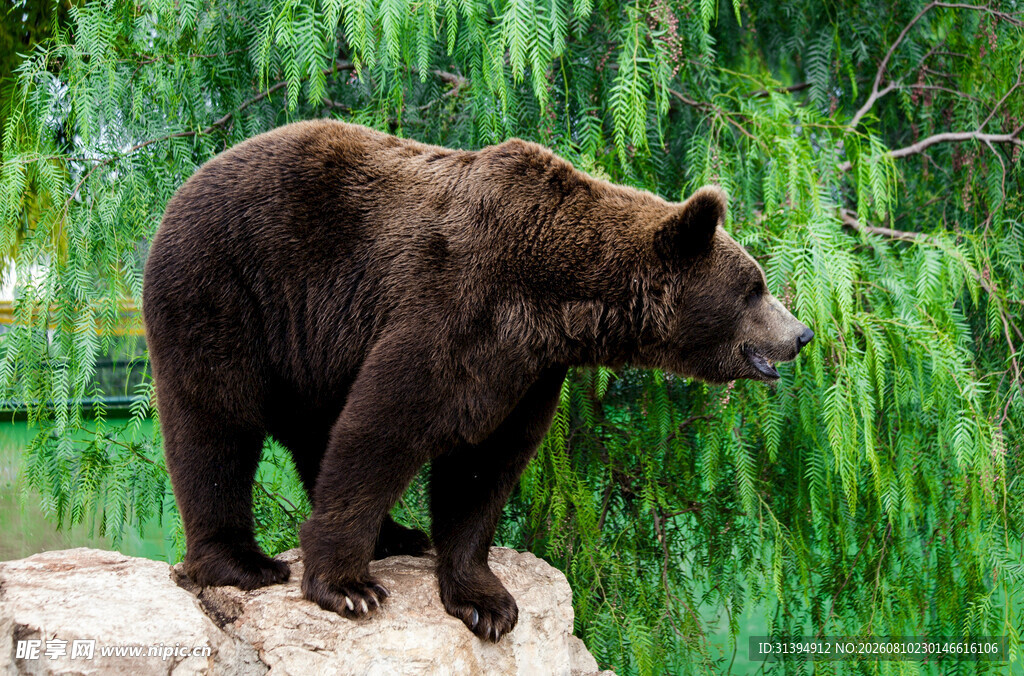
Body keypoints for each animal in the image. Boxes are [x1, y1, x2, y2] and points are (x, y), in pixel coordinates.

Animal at [142, 119, 812, 642]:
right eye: (754, 288)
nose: (801, 333)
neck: (557, 298)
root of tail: (185, 184)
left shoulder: (528, 371)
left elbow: (482, 469)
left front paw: (486, 602)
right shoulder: (453, 313)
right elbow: (381, 431)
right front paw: (349, 587)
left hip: (311, 346)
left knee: (312, 432)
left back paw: (398, 535)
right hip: (228, 292)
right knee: (215, 425)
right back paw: (242, 563)